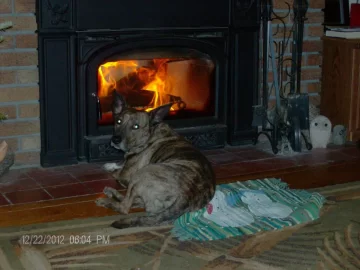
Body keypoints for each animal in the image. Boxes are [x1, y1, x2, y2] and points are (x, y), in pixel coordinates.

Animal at [94, 90, 215, 228]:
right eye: (118, 121)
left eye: (136, 126)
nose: (115, 139)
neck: (150, 133)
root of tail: (186, 197)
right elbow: (120, 163)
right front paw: (111, 164)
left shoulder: (125, 175)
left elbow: (117, 172)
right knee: (136, 201)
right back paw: (112, 193)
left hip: (143, 173)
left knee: (125, 207)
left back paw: (106, 201)